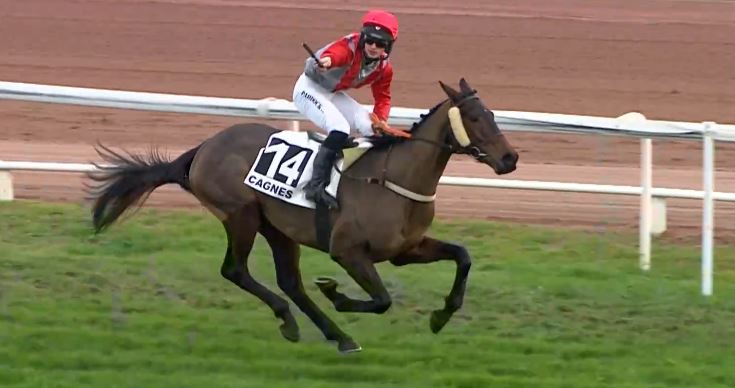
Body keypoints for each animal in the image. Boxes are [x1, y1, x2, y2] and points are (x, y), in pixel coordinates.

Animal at [89, 77, 520, 354]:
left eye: (492, 114)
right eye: (476, 118)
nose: (510, 158)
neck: (393, 179)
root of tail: (204, 148)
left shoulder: (406, 249)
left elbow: (463, 255)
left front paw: (442, 315)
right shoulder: (348, 251)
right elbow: (381, 299)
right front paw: (337, 294)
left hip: (277, 228)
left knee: (290, 282)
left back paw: (338, 336)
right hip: (241, 215)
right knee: (236, 270)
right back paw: (291, 320)